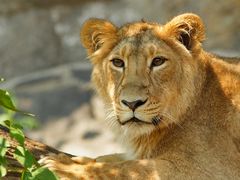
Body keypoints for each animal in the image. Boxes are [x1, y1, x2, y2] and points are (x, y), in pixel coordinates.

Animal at [40, 13, 240, 179]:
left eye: (158, 61)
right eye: (118, 62)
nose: (132, 103)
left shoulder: (211, 168)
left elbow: (131, 168)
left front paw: (64, 166)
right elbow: (113, 158)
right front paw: (78, 159)